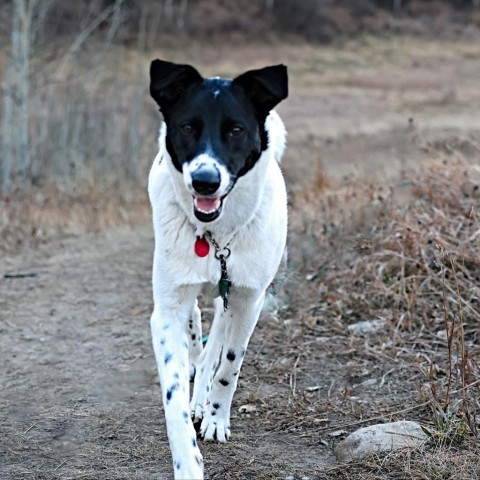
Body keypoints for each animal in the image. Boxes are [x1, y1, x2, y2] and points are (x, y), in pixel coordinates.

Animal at [147, 58, 288, 478]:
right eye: (187, 127)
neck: (214, 236)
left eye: (236, 130)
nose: (204, 182)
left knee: (216, 345)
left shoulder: (249, 298)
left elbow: (228, 366)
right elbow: (174, 399)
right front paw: (187, 463)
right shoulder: (167, 311)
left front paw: (214, 418)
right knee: (196, 330)